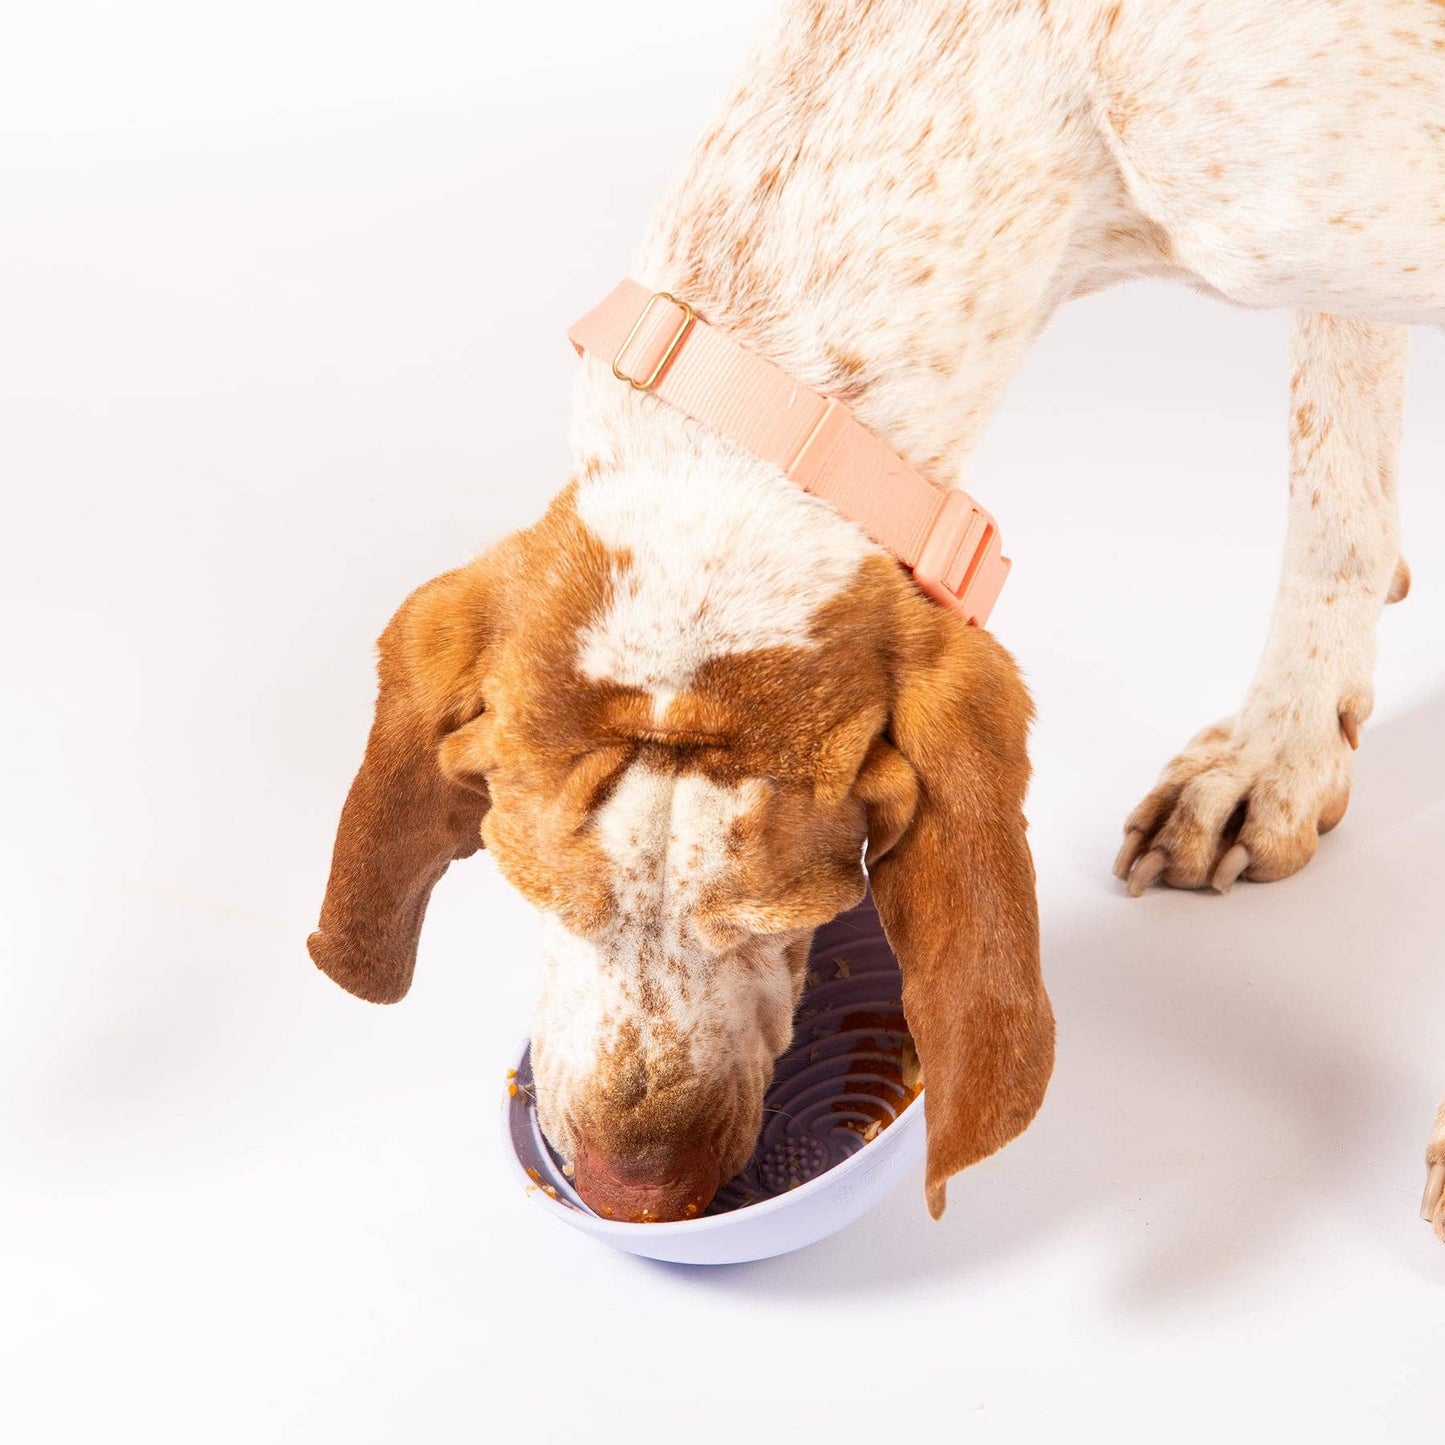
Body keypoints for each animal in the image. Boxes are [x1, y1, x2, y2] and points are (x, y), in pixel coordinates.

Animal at [307, 0, 1445, 1236]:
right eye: (532, 886)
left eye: (779, 912)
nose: (630, 1188)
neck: (1056, 63)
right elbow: (1333, 472)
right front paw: (1279, 754)